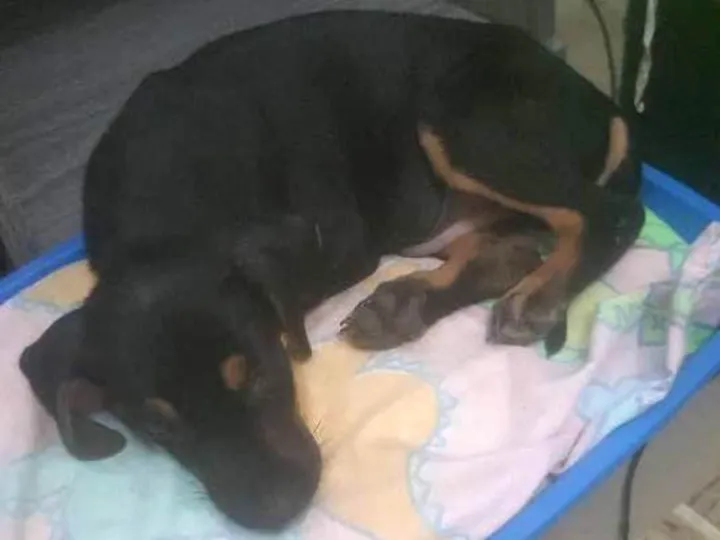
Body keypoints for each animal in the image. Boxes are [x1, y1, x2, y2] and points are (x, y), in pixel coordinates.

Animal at [19, 10, 644, 531]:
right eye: (155, 428)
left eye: (260, 369)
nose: (276, 511)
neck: (162, 205)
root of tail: (604, 102)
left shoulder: (341, 244)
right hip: (446, 213)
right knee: (510, 250)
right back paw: (407, 305)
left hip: (460, 121)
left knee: (609, 214)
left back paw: (538, 296)